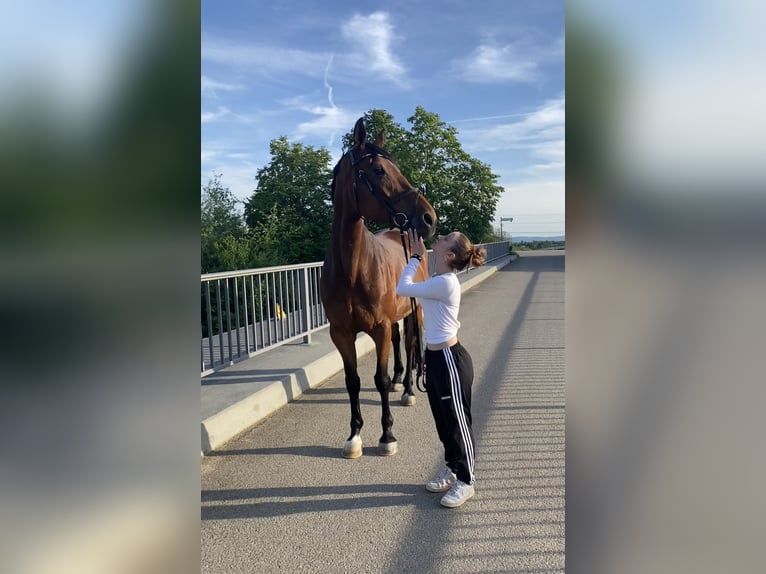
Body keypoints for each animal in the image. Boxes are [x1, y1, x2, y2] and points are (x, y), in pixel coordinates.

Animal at [320, 117, 438, 460]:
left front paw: (387, 435)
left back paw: (409, 389)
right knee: (401, 342)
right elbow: (353, 381)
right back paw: (402, 380)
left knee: (411, 344)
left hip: (414, 309)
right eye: (378, 170)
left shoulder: (380, 327)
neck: (352, 269)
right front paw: (354, 435)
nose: (429, 217)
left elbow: (380, 379)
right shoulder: (341, 333)